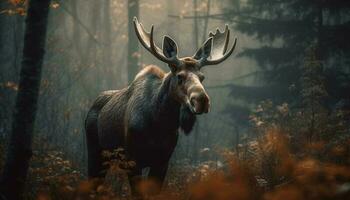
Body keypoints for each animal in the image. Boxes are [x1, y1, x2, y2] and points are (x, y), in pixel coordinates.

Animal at [85, 17, 238, 195]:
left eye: (202, 77)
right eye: (179, 76)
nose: (201, 100)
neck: (160, 123)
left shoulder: (163, 161)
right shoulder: (133, 159)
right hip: (95, 153)